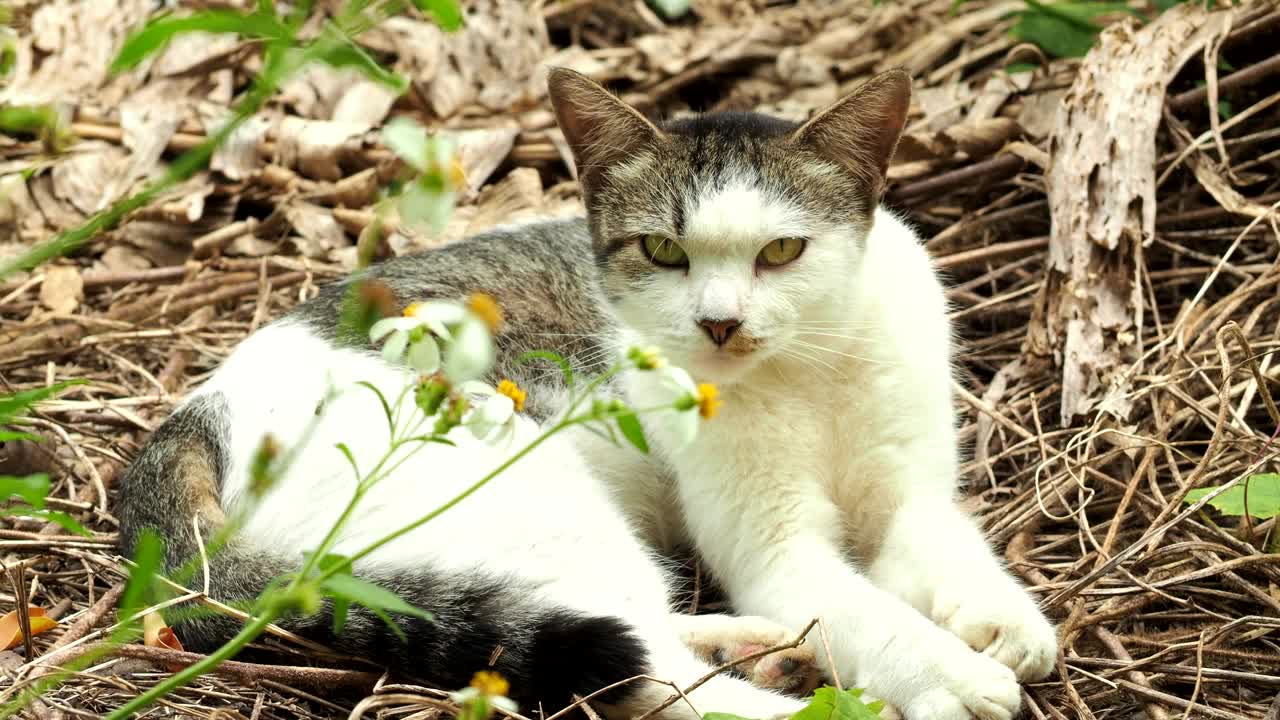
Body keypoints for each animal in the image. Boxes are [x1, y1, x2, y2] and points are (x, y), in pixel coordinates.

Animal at [545, 68, 1054, 717]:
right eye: (662, 250)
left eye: (782, 250)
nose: (720, 323)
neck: (804, 369)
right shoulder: (777, 552)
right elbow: (875, 618)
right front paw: (953, 677)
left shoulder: (908, 494)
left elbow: (943, 537)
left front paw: (1002, 612)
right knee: (638, 660)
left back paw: (758, 651)